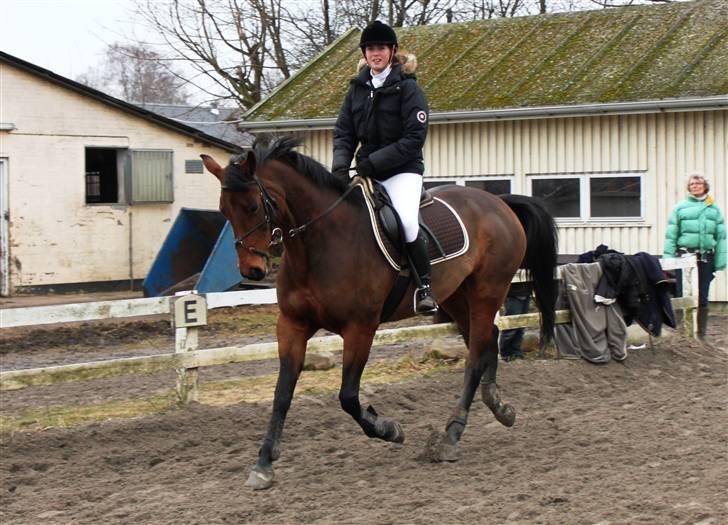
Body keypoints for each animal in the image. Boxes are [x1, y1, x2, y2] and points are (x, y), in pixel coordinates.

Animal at [199, 137, 556, 490]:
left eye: (253, 207)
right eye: (223, 210)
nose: (252, 270)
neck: (319, 245)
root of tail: (497, 202)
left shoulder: (360, 328)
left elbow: (348, 396)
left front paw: (389, 429)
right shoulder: (292, 325)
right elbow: (282, 393)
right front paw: (263, 464)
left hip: (487, 290)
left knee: (476, 356)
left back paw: (451, 436)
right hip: (456, 296)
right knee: (486, 342)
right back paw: (499, 407)